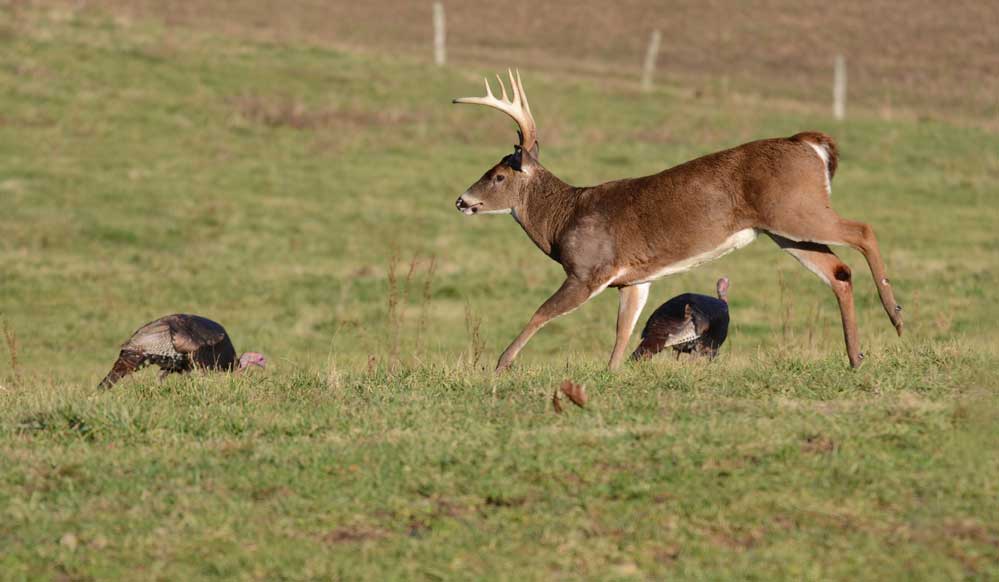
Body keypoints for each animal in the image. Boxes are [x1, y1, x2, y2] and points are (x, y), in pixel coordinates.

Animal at [456, 70, 908, 372]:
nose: (462, 200)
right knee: (839, 271)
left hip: (797, 209)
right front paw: (612, 373)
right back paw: (856, 356)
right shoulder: (633, 279)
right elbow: (623, 333)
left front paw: (500, 364)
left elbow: (541, 313)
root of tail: (810, 144)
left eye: (498, 176)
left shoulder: (587, 270)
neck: (562, 217)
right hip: (785, 230)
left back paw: (896, 315)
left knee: (863, 230)